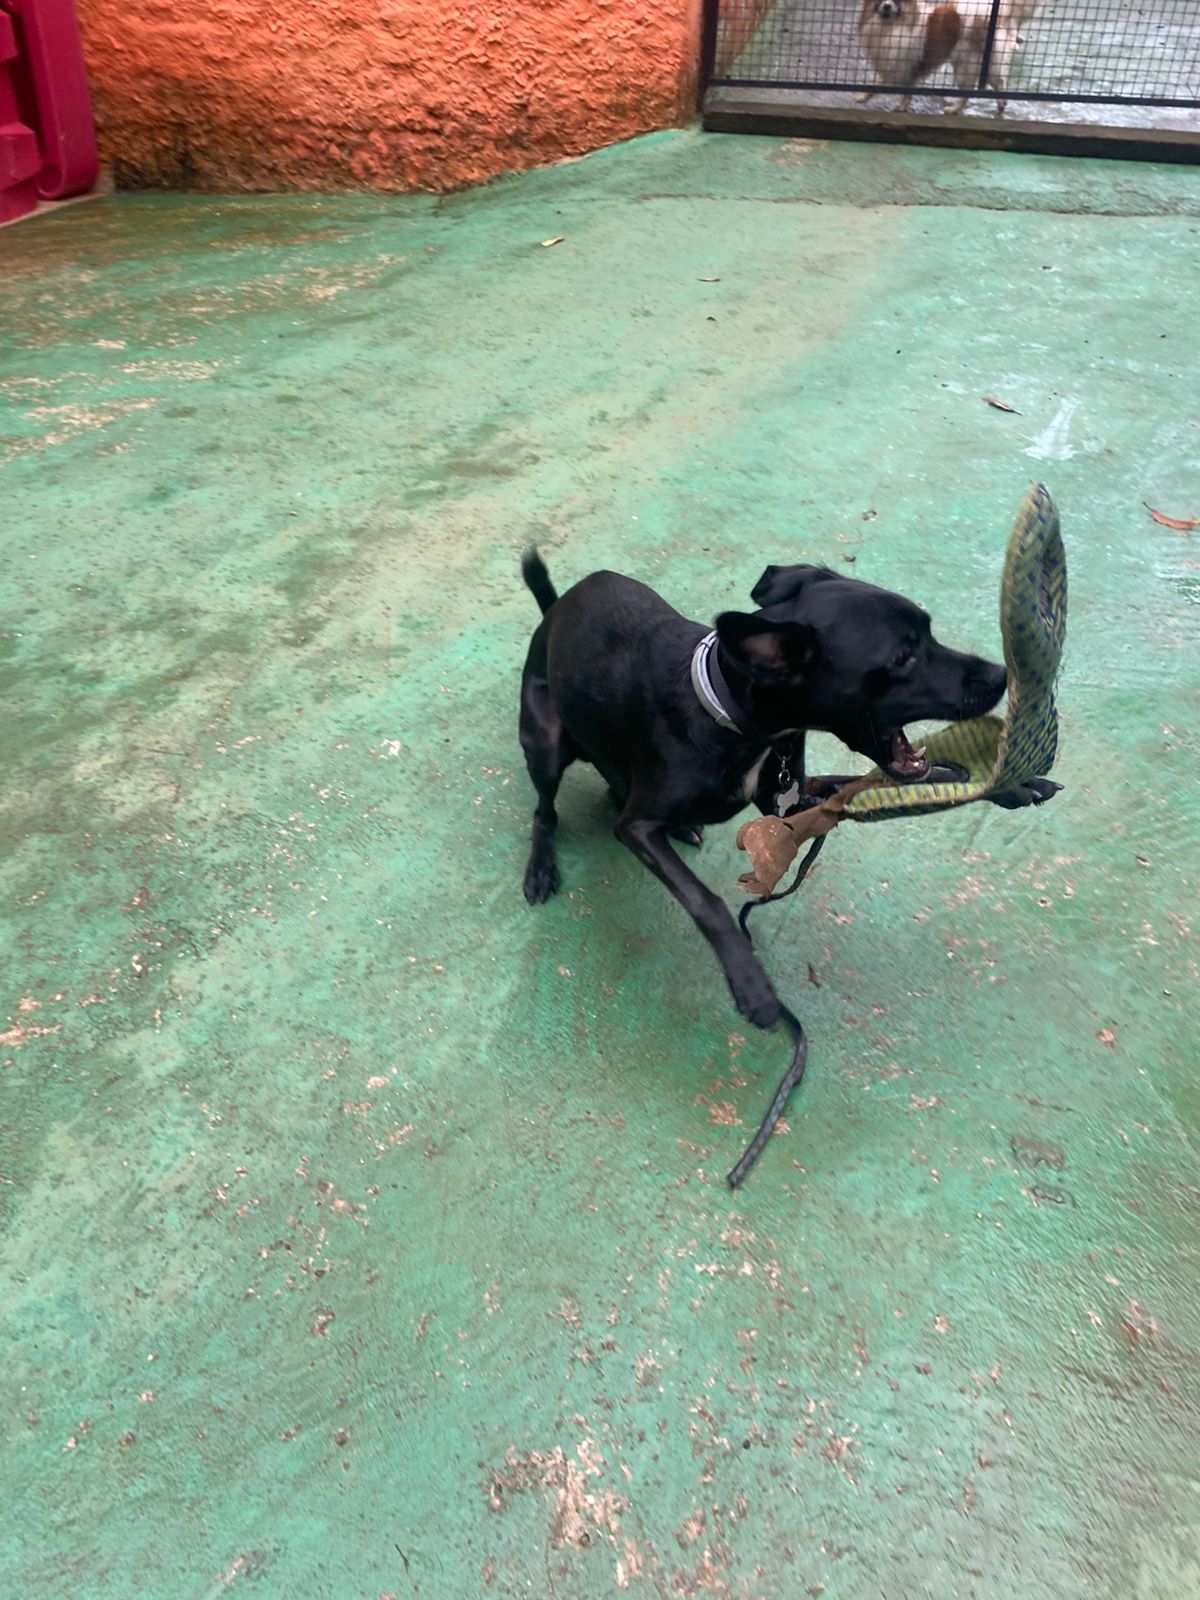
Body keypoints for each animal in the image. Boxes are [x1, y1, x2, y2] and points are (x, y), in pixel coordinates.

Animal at [518, 553, 1056, 1033]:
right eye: (902, 658)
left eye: (928, 631)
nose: (1002, 676)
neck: (730, 713)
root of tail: (553, 609)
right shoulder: (639, 827)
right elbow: (708, 903)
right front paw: (752, 985)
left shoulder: (793, 796)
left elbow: (917, 778)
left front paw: (1014, 783)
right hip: (544, 742)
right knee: (546, 811)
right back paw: (541, 867)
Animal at [857, 0, 1036, 115]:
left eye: (897, 0)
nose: (887, 6)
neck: (890, 26)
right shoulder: (896, 65)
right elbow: (878, 82)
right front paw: (864, 97)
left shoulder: (901, 64)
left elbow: (894, 88)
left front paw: (900, 107)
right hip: (985, 65)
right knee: (1000, 81)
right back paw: (1001, 105)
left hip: (967, 65)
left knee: (970, 90)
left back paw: (954, 109)